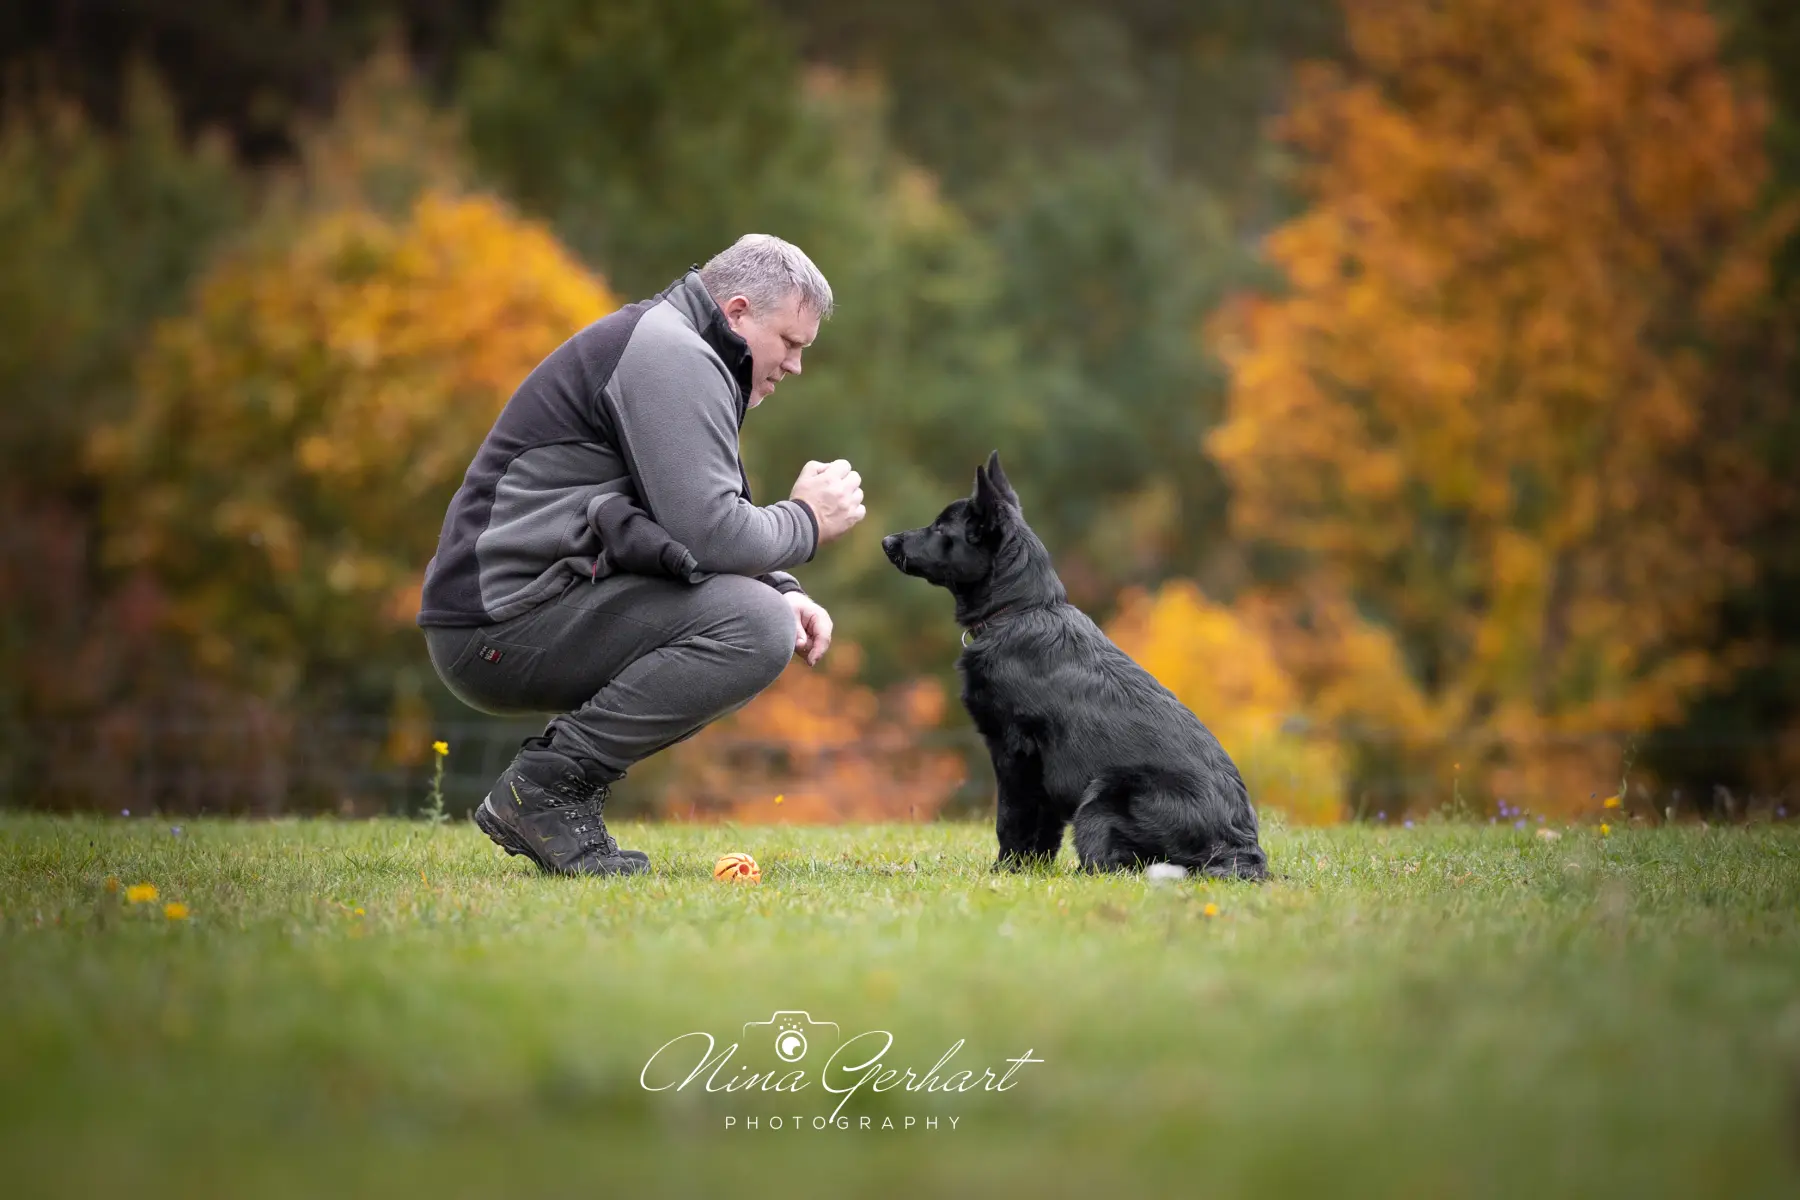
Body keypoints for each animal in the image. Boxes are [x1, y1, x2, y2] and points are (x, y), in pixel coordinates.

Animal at [882, 455, 1267, 877]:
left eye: (939, 528)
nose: (886, 541)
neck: (1019, 610)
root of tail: (1237, 849)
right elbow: (1044, 831)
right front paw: (1030, 869)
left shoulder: (1016, 755)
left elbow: (1012, 819)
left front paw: (1006, 869)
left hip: (1100, 798)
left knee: (1111, 865)